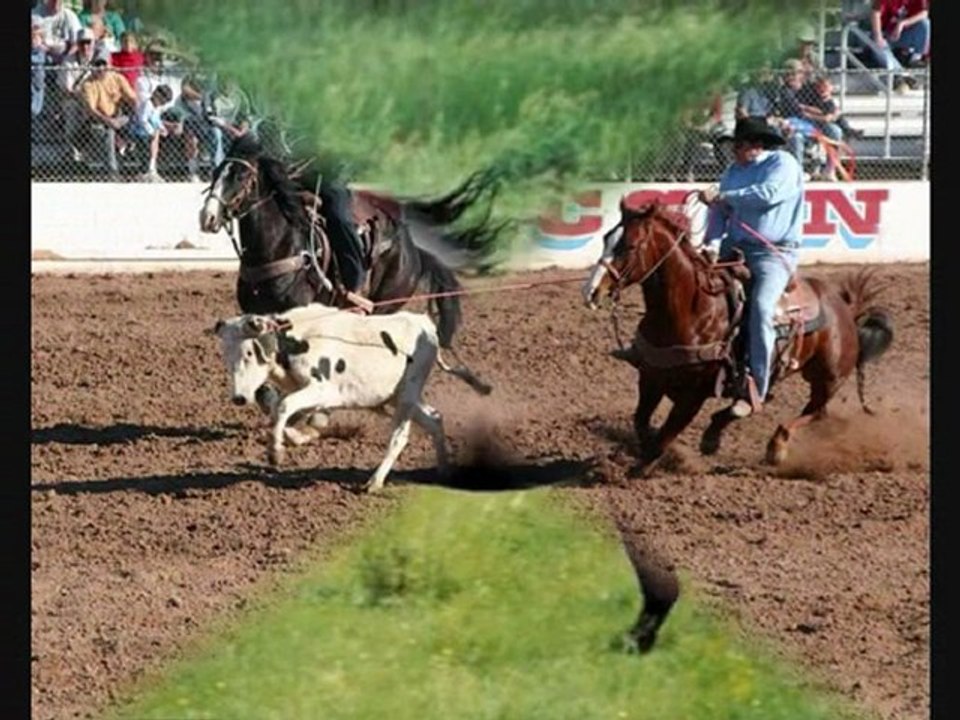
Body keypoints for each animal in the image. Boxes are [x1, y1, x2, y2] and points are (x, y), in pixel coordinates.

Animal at [198, 134, 504, 352]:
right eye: (215, 173)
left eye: (240, 176)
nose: (207, 217)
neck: (279, 247)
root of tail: (413, 249)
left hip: (385, 304)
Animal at [581, 198, 894, 474]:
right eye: (605, 239)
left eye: (630, 245)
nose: (591, 292)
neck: (692, 310)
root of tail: (844, 307)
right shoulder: (651, 377)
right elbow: (642, 423)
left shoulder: (694, 394)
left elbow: (666, 434)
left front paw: (640, 467)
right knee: (806, 409)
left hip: (828, 377)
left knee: (815, 411)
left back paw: (774, 446)